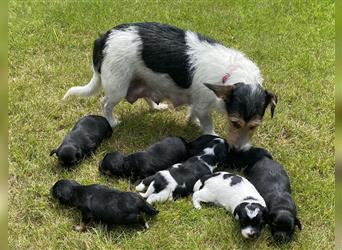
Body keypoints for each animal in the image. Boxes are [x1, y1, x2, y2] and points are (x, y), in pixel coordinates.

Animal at [62, 21, 278, 149]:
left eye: (254, 126)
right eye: (235, 123)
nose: (238, 150)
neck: (231, 73)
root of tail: (104, 38)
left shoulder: (198, 102)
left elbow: (193, 112)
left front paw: (192, 121)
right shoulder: (203, 106)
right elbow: (208, 123)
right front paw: (211, 134)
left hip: (142, 80)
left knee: (146, 96)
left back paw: (156, 107)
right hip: (118, 87)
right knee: (105, 103)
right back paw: (112, 121)